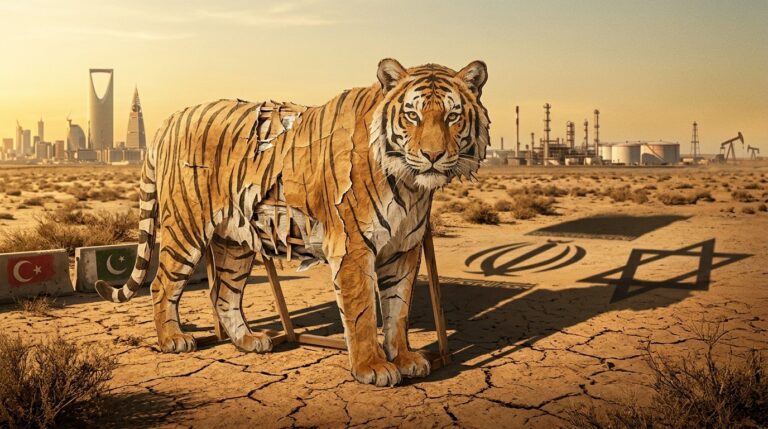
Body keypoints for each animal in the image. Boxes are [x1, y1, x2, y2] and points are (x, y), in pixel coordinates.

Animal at [96, 59, 490, 386]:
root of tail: (169, 120)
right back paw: (174, 340)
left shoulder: (405, 249)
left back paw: (248, 340)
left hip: (233, 243)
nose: (433, 155)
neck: (409, 184)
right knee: (161, 284)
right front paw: (372, 368)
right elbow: (363, 312)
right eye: (412, 116)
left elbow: (398, 310)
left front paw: (406, 358)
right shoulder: (353, 247)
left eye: (452, 117)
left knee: (223, 293)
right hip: (186, 226)